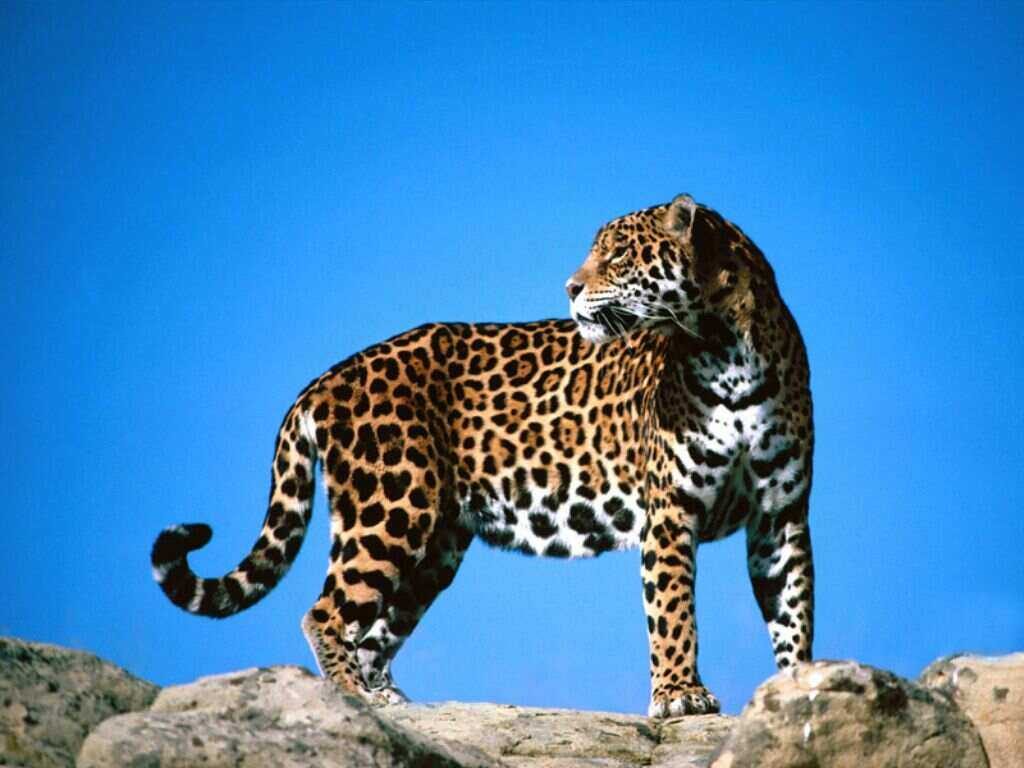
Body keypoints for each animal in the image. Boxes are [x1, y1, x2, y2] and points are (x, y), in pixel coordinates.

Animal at [151, 194, 814, 718]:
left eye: (618, 254)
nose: (570, 288)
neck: (727, 350)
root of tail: (326, 378)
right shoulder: (671, 511)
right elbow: (673, 608)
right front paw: (680, 695)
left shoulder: (780, 517)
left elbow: (794, 609)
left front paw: (797, 692)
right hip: (390, 506)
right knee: (325, 612)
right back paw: (353, 698)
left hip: (435, 546)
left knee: (375, 628)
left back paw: (388, 698)